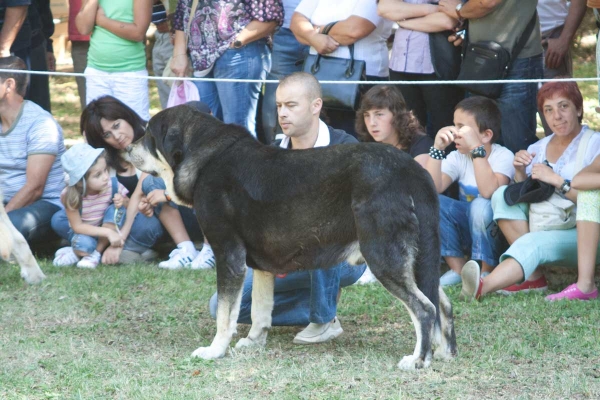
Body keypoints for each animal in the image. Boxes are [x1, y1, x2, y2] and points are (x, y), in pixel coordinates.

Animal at [125, 105, 454, 368]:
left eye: (148, 134)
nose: (127, 148)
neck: (204, 157)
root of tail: (411, 170)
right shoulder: (260, 266)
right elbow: (260, 310)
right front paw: (254, 342)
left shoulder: (228, 254)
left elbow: (225, 315)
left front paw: (215, 351)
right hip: (417, 260)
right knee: (442, 303)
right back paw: (444, 353)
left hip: (383, 256)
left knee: (424, 308)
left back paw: (418, 360)